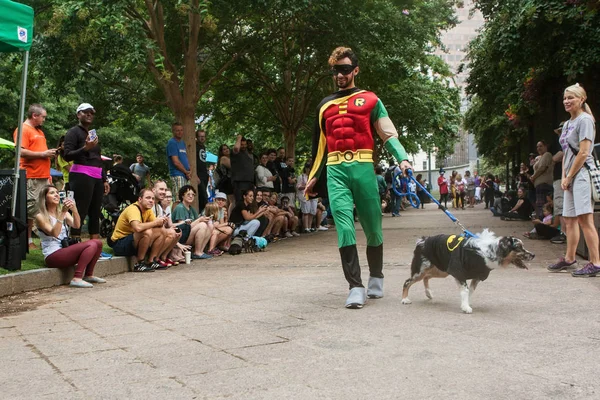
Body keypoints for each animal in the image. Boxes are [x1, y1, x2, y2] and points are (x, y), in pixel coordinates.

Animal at [404, 230, 536, 314]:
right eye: (519, 247)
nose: (533, 255)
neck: (489, 252)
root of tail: (422, 240)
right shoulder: (458, 272)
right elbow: (465, 290)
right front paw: (465, 307)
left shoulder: (477, 276)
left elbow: (471, 291)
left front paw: (466, 303)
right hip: (421, 270)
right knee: (407, 282)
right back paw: (405, 299)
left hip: (441, 270)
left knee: (426, 277)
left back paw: (429, 293)